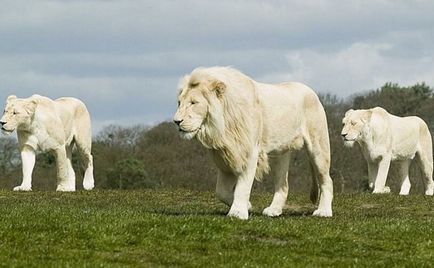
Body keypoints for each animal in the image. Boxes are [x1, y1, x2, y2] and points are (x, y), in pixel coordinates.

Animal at [173, 67, 332, 220]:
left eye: (193, 103)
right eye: (179, 103)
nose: (176, 121)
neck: (221, 127)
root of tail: (311, 91)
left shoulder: (247, 151)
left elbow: (242, 186)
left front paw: (237, 213)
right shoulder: (226, 156)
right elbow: (221, 191)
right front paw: (247, 206)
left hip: (318, 146)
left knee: (326, 180)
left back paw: (323, 211)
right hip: (280, 152)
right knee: (283, 185)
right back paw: (274, 210)